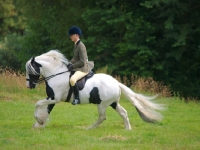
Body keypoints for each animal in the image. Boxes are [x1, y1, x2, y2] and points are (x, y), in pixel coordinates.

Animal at [25, 49, 165, 129]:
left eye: (30, 70)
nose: (29, 86)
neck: (55, 74)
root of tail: (116, 83)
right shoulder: (51, 98)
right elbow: (47, 110)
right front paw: (39, 124)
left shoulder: (55, 98)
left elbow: (38, 104)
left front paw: (38, 121)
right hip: (113, 103)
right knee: (123, 112)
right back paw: (128, 129)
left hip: (102, 104)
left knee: (102, 117)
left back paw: (89, 128)